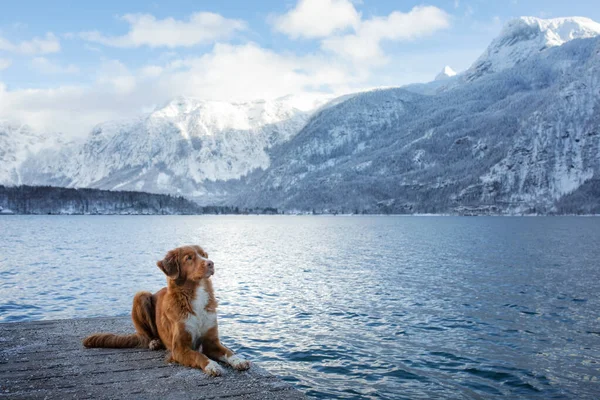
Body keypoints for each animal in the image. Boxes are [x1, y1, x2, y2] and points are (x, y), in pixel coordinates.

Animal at [82, 244, 248, 376]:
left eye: (204, 255)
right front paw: (213, 366)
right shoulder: (179, 349)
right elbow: (199, 356)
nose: (211, 263)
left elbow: (228, 352)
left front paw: (239, 360)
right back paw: (154, 343)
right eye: (189, 258)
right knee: (145, 336)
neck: (195, 294)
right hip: (141, 295)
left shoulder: (211, 342)